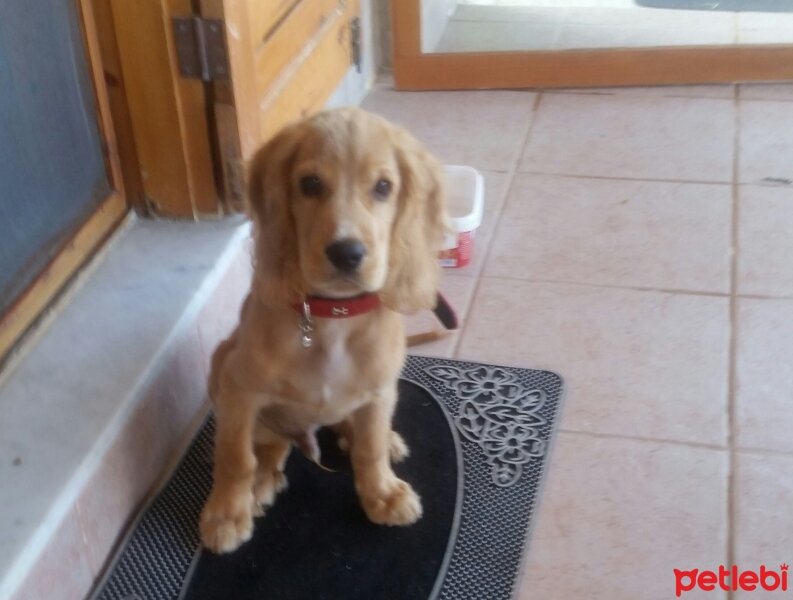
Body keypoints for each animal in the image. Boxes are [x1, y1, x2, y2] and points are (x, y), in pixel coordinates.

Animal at [200, 105, 446, 552]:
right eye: (310, 184)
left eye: (383, 187)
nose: (347, 253)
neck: (334, 316)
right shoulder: (238, 390)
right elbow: (235, 456)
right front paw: (226, 513)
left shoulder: (380, 390)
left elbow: (369, 450)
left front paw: (381, 493)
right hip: (221, 360)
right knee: (271, 443)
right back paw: (263, 479)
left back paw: (383, 439)